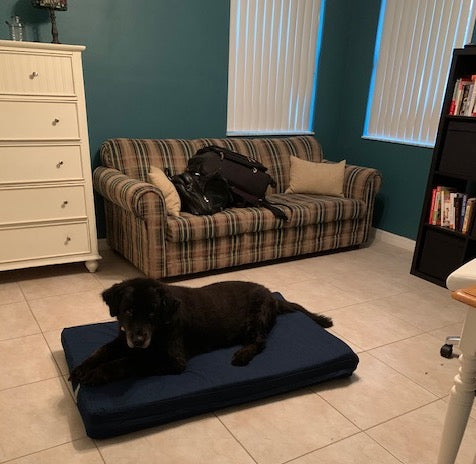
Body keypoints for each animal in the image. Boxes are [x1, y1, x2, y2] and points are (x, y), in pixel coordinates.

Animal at [69, 280, 330, 384]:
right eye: (128, 310)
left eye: (152, 313)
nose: (140, 339)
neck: (162, 325)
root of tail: (272, 296)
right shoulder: (124, 338)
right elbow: (102, 350)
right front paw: (82, 368)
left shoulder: (173, 360)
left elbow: (129, 362)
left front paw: (97, 373)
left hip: (256, 319)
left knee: (260, 341)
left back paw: (242, 355)